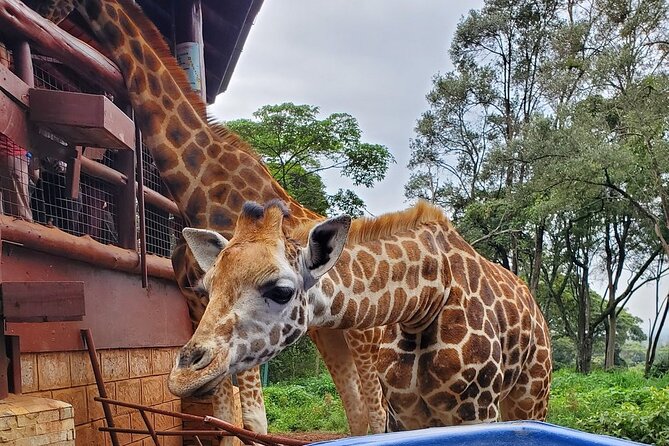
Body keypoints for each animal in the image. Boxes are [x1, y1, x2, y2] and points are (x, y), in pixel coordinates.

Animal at [39, 0, 385, 438]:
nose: (43, 19)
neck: (201, 184)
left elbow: (252, 420)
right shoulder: (198, 307)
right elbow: (220, 417)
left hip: (365, 335)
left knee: (378, 410)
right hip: (330, 333)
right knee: (358, 411)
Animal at [168, 200, 552, 431]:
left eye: (281, 291)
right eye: (207, 287)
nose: (184, 375)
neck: (424, 302)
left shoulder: (476, 411)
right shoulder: (404, 413)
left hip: (531, 395)